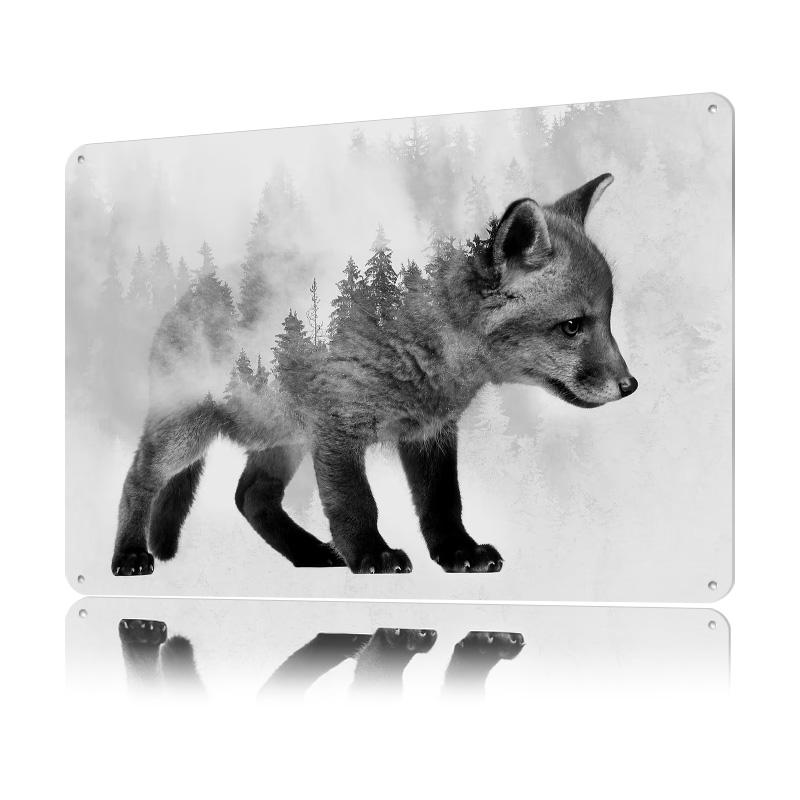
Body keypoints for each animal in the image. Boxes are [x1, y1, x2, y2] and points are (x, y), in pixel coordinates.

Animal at [111, 172, 637, 577]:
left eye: (608, 319)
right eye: (572, 326)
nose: (630, 386)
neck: (418, 346)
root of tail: (187, 298)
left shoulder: (430, 432)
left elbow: (443, 503)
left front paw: (458, 552)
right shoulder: (338, 431)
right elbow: (356, 504)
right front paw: (372, 555)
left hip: (285, 439)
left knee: (251, 497)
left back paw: (309, 554)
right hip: (187, 435)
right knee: (138, 480)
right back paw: (129, 555)